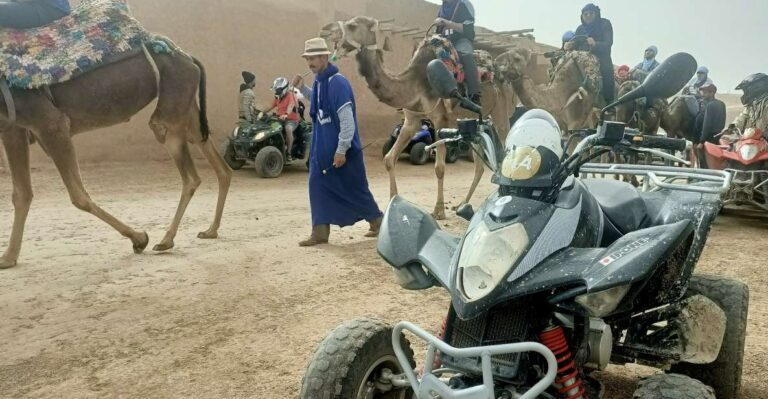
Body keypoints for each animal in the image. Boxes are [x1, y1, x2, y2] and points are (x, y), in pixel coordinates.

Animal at [0, 41, 234, 268]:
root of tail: (188, 56)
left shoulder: (50, 123)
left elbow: (79, 196)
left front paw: (140, 238)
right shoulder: (14, 128)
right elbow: (21, 194)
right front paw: (9, 257)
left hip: (172, 103)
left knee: (190, 174)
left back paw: (166, 240)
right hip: (187, 106)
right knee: (219, 164)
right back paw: (210, 230)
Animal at [320, 16, 512, 219]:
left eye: (352, 25)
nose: (324, 30)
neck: (416, 82)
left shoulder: (441, 120)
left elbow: (439, 167)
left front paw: (439, 210)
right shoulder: (411, 120)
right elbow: (388, 159)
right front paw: (392, 204)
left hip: (500, 111)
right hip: (476, 121)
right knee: (479, 165)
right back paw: (462, 204)